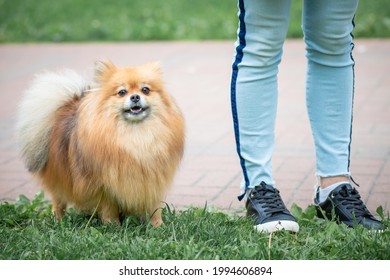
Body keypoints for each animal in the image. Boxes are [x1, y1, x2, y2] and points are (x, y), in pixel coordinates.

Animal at [15, 61, 184, 228]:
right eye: (122, 92)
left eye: (145, 90)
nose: (135, 96)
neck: (135, 135)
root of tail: (67, 105)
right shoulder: (104, 185)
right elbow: (109, 207)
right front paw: (113, 225)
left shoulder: (153, 180)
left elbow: (154, 208)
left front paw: (158, 226)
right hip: (59, 175)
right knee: (58, 201)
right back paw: (58, 220)